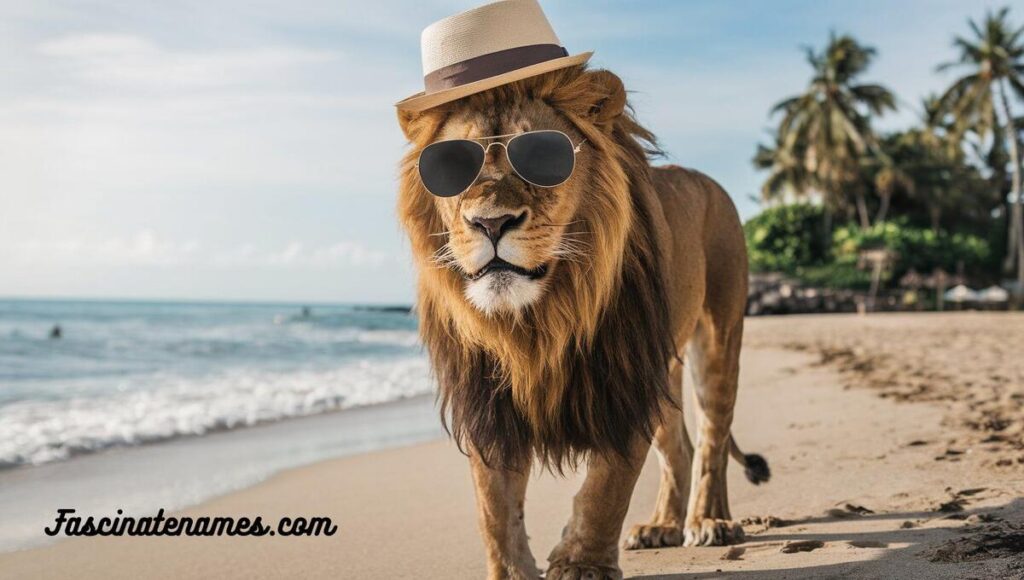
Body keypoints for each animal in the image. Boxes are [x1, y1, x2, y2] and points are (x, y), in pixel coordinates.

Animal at [397, 65, 769, 580]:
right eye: (451, 167)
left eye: (542, 156)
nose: (491, 224)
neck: (537, 320)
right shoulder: (488, 399)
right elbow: (494, 507)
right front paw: (511, 572)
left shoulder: (625, 375)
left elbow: (606, 488)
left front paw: (581, 565)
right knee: (680, 449)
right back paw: (661, 526)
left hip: (718, 336)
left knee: (711, 441)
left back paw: (710, 521)